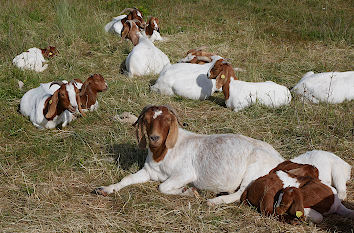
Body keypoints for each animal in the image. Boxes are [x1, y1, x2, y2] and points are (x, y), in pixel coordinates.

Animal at [92, 105, 284, 206]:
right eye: (146, 120)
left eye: (167, 121)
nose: (154, 138)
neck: (163, 154)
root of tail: (280, 159)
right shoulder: (148, 171)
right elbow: (128, 178)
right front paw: (105, 189)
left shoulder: (185, 174)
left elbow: (163, 187)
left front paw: (188, 191)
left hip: (255, 169)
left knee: (242, 192)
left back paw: (214, 201)